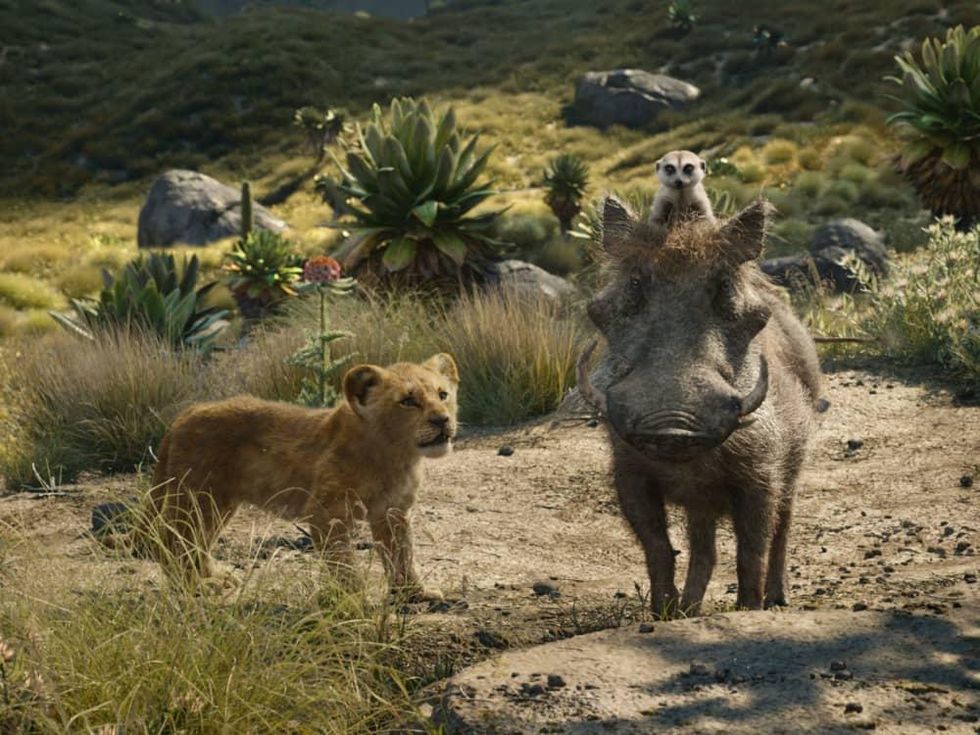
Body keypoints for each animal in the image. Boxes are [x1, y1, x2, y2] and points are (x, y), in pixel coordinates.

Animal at [133, 353, 459, 600]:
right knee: (172, 540)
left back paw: (215, 576)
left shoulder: (393, 512)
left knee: (196, 541)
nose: (442, 420)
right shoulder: (327, 512)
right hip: (197, 497)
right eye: (408, 401)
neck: (396, 456)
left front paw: (414, 593)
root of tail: (183, 415)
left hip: (217, 502)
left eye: (443, 395)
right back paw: (196, 586)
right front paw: (354, 600)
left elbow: (402, 553)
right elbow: (342, 562)